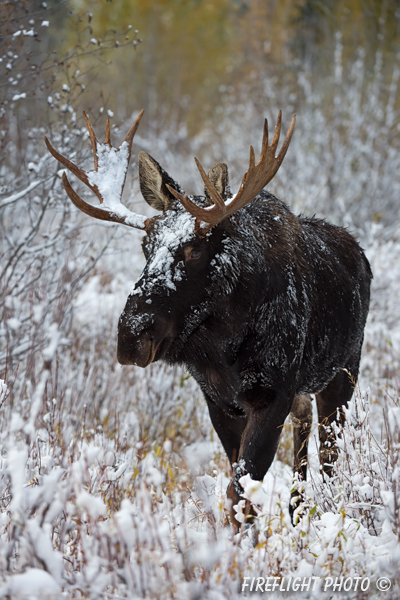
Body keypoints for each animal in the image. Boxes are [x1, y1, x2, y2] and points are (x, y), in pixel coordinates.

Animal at [46, 110, 372, 528]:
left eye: (195, 249)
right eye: (146, 245)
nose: (131, 335)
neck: (225, 345)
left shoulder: (273, 393)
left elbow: (243, 490)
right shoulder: (218, 401)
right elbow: (237, 492)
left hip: (342, 375)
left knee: (330, 453)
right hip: (307, 390)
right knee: (304, 436)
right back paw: (296, 511)